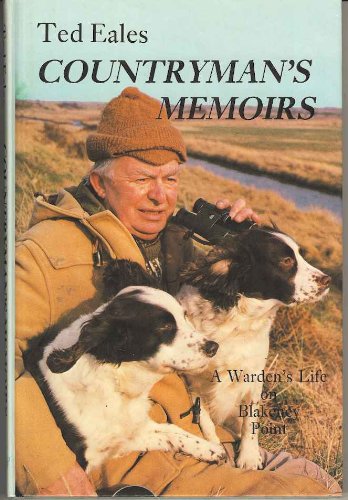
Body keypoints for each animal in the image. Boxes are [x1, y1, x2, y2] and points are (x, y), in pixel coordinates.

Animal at [23, 260, 226, 474]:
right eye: (165, 327)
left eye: (184, 316)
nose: (213, 347)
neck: (116, 383)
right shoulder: (93, 455)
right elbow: (162, 436)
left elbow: (171, 429)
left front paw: (210, 449)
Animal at [175, 225, 330, 470]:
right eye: (286, 261)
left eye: (300, 254)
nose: (327, 280)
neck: (237, 321)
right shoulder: (191, 379)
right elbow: (205, 419)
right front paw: (215, 449)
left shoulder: (253, 375)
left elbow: (250, 421)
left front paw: (248, 457)